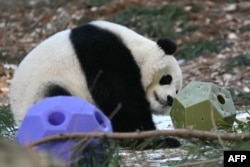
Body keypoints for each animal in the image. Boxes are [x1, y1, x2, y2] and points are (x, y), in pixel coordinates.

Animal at [10, 20, 182, 146]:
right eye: (167, 78)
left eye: (177, 91)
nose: (170, 99)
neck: (136, 50)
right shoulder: (103, 54)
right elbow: (122, 100)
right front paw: (152, 138)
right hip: (40, 91)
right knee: (57, 100)